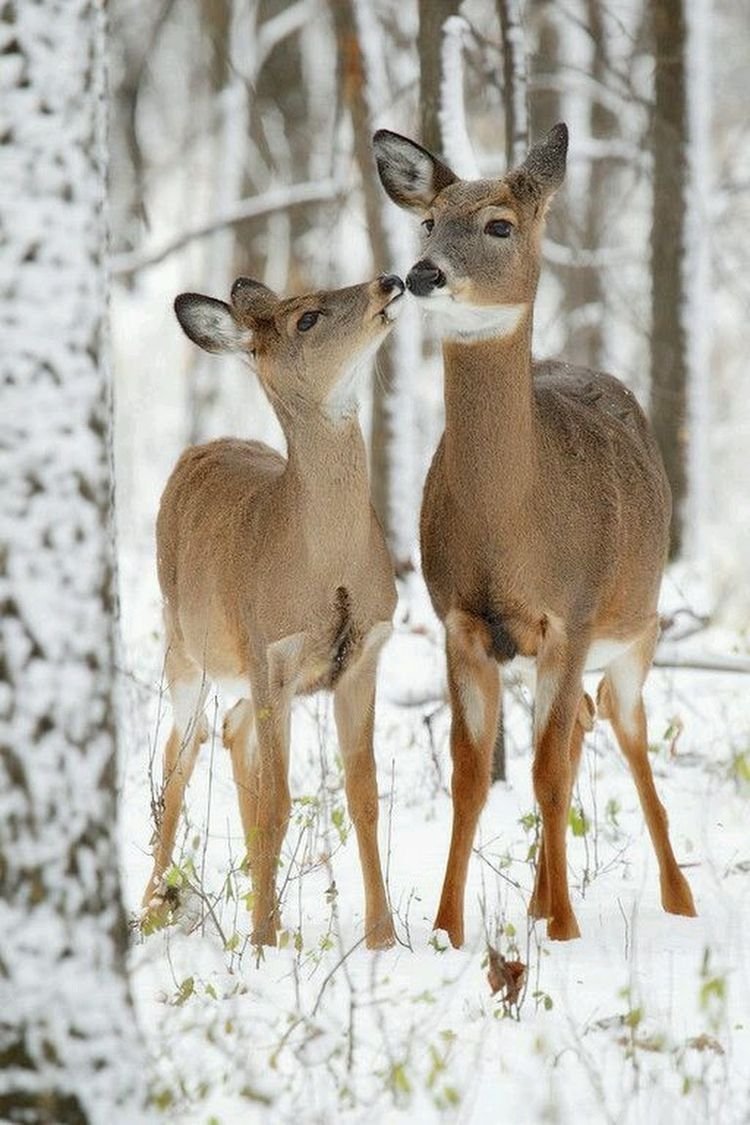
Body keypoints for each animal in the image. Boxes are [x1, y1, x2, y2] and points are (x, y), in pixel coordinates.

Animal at [141, 272, 405, 950]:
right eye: (306, 318)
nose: (389, 282)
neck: (325, 565)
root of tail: (200, 448)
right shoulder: (273, 651)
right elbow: (278, 802)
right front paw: (259, 940)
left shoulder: (365, 654)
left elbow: (364, 795)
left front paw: (384, 937)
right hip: (183, 644)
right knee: (180, 757)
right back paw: (154, 908)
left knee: (232, 735)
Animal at [372, 122, 697, 945]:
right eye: (428, 221)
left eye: (498, 225)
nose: (422, 273)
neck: (513, 525)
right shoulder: (458, 617)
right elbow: (470, 774)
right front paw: (449, 930)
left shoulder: (571, 615)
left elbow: (546, 774)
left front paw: (567, 931)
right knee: (582, 721)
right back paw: (537, 898)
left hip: (638, 625)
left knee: (624, 724)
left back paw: (677, 897)